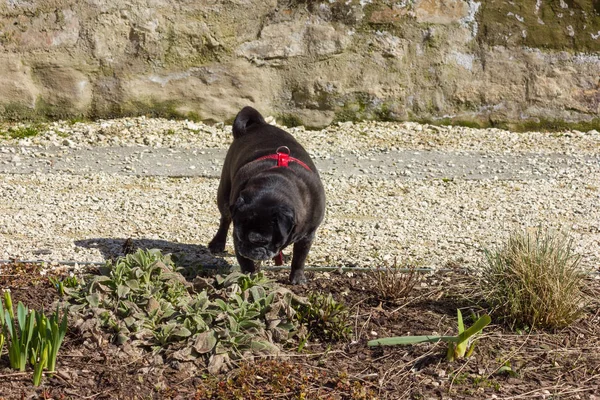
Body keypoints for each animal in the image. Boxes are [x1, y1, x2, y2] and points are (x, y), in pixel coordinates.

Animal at [209, 104, 326, 282]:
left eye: (261, 241)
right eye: (240, 237)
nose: (246, 248)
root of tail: (259, 125)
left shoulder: (307, 236)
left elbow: (300, 258)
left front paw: (297, 277)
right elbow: (246, 263)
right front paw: (250, 277)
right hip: (224, 195)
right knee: (225, 219)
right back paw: (217, 243)